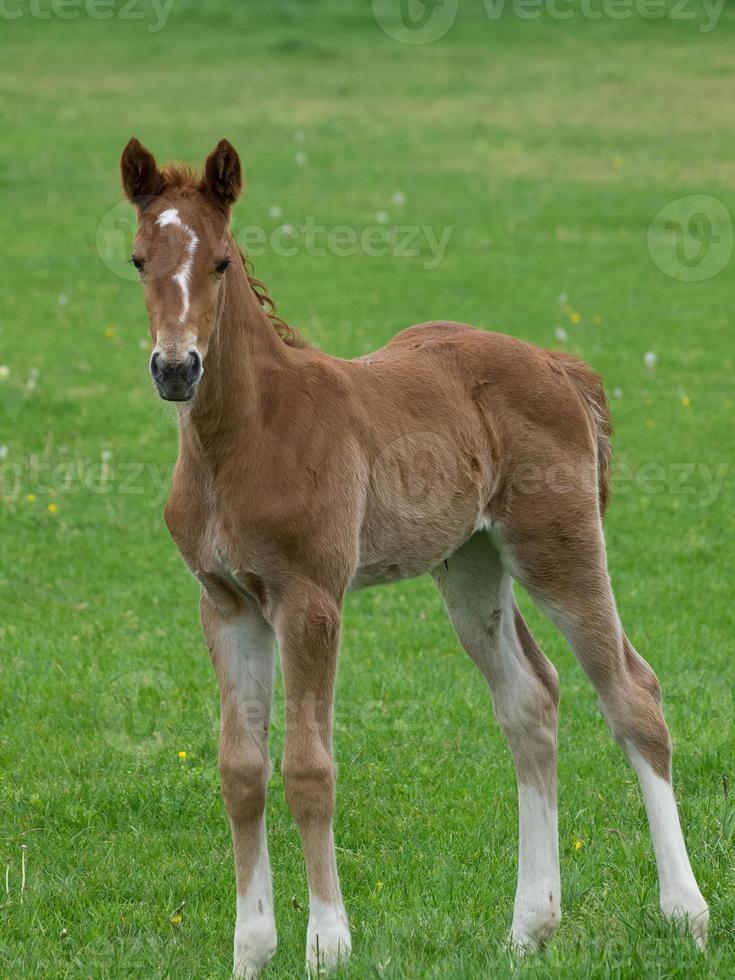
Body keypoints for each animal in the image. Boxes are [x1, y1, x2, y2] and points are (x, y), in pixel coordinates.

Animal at [122, 136, 712, 972]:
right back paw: (529, 927)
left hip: (557, 545)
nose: (176, 369)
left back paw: (684, 914)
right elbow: (240, 770)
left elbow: (308, 766)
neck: (242, 437)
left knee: (632, 694)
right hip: (470, 564)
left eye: (221, 262)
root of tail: (555, 362)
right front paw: (250, 951)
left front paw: (327, 945)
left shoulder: (310, 598)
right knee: (530, 701)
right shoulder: (226, 603)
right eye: (139, 259)